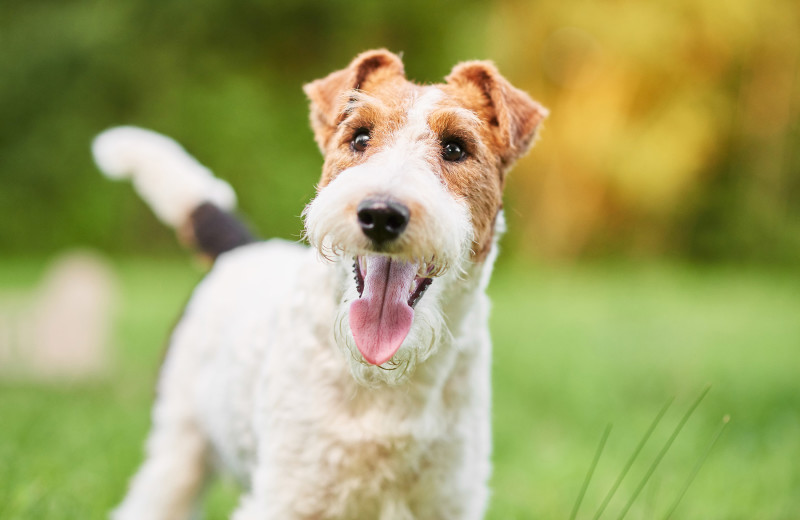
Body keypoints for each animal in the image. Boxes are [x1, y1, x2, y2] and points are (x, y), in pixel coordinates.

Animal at [92, 49, 544, 520]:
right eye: (360, 137)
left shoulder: (448, 500)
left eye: (456, 147)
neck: (383, 378)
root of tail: (240, 249)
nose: (381, 214)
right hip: (179, 445)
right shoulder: (288, 496)